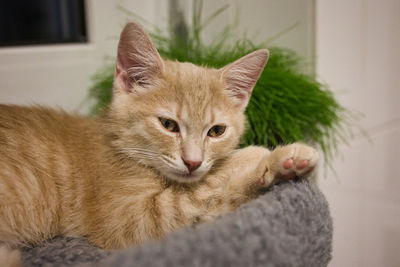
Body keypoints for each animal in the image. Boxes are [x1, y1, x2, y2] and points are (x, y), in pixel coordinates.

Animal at [0, 21, 318, 262]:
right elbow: (199, 190)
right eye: (168, 125)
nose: (193, 162)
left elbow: (215, 201)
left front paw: (287, 164)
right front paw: (257, 155)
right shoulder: (131, 223)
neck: (119, 144)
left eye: (216, 131)